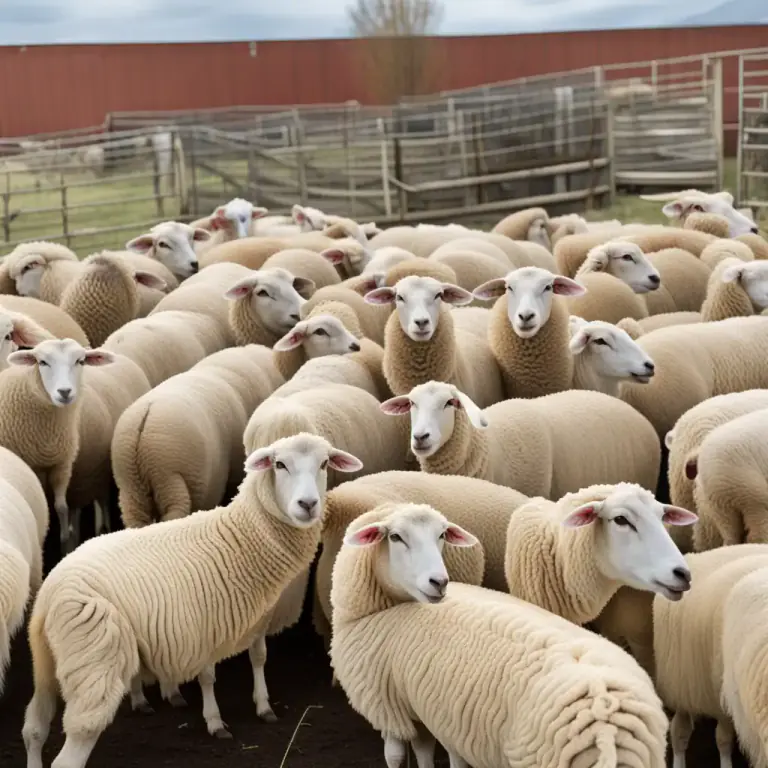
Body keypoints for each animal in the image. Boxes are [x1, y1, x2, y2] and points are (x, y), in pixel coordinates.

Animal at [0, 339, 115, 554]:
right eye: (42, 362)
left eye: (80, 361)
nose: (65, 392)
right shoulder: (33, 468)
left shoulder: (63, 464)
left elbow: (62, 507)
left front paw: (65, 537)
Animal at [21, 433, 363, 763]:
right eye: (279, 464)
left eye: (324, 463)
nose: (308, 504)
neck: (240, 536)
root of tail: (51, 589)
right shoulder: (207, 625)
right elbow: (208, 676)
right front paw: (215, 722)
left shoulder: (252, 620)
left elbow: (258, 657)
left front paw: (262, 706)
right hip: (94, 661)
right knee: (72, 749)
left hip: (46, 665)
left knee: (34, 730)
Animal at [113, 344, 284, 529]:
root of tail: (144, 421)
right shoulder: (234, 474)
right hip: (170, 479)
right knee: (174, 512)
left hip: (133, 489)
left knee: (136, 517)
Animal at [331, 503, 669, 768]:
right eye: (395, 536)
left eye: (441, 536)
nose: (439, 582)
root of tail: (605, 715)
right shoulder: (417, 703)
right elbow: (425, 753)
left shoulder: (381, 698)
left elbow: (395, 756)